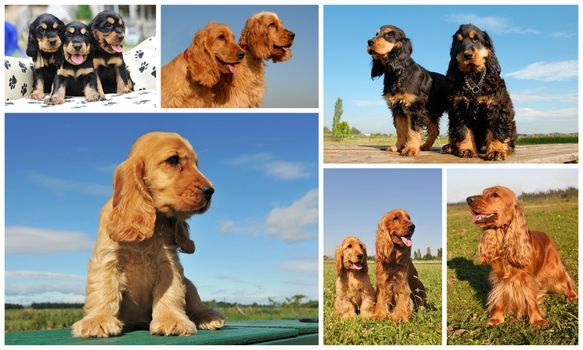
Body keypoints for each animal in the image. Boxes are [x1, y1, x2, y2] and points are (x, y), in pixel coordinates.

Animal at [72, 131, 226, 336]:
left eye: (196, 164)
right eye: (173, 160)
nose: (210, 191)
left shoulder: (168, 263)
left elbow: (170, 292)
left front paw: (171, 320)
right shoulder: (107, 259)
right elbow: (103, 289)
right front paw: (98, 321)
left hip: (190, 284)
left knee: (195, 302)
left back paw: (209, 316)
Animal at [368, 24, 450, 156]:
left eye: (389, 34)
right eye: (376, 34)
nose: (369, 42)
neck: (397, 73)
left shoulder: (415, 107)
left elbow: (412, 130)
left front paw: (411, 149)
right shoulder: (397, 109)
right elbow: (401, 130)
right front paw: (397, 147)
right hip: (431, 113)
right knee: (434, 131)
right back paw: (425, 146)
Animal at [440, 23, 516, 161]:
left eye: (476, 39)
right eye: (459, 42)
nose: (467, 55)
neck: (474, 78)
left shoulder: (496, 108)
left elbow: (496, 130)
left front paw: (496, 151)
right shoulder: (459, 109)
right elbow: (463, 131)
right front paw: (467, 150)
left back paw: (506, 149)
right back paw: (450, 147)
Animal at [468, 186, 576, 326]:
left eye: (495, 195)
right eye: (483, 192)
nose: (468, 199)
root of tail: (547, 236)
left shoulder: (527, 279)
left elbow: (531, 299)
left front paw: (537, 320)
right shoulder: (499, 278)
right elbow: (499, 297)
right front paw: (496, 318)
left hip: (555, 268)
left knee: (566, 280)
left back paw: (573, 296)